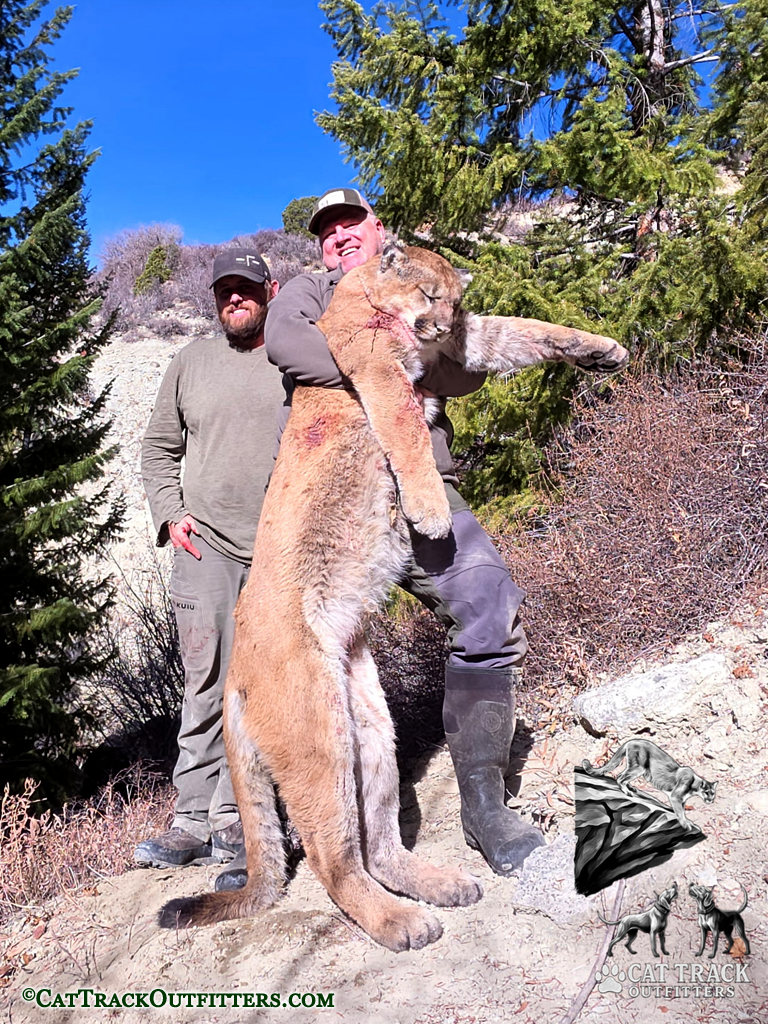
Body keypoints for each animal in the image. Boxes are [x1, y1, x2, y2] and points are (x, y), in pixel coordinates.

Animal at [159, 243, 628, 951]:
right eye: (429, 296)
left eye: (454, 302)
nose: (438, 322)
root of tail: (236, 671)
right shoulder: (377, 366)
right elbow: (407, 431)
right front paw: (430, 512)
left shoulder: (462, 347)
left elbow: (524, 330)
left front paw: (603, 348)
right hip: (318, 737)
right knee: (333, 861)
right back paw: (400, 921)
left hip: (370, 725)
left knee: (376, 842)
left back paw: (437, 884)